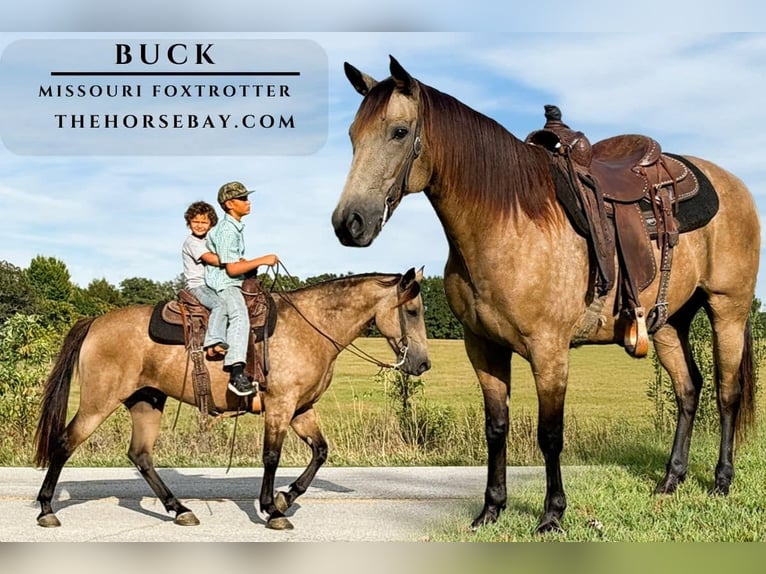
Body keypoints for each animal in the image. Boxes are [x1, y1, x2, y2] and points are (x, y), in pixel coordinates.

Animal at [34, 267, 430, 530]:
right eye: (412, 311)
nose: (423, 363)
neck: (312, 326)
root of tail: (95, 322)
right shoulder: (281, 406)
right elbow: (271, 456)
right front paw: (272, 509)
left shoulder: (302, 409)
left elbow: (320, 452)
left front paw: (286, 497)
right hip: (99, 402)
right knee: (65, 442)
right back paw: (46, 509)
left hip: (147, 401)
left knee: (140, 455)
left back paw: (179, 509)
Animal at [332, 56, 760, 534]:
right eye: (352, 135)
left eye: (400, 131)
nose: (349, 223)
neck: (508, 224)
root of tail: (733, 184)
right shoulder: (483, 348)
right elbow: (496, 427)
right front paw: (491, 509)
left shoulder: (549, 350)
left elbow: (550, 434)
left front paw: (552, 514)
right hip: (667, 323)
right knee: (688, 390)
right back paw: (670, 480)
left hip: (727, 310)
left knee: (727, 392)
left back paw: (721, 481)